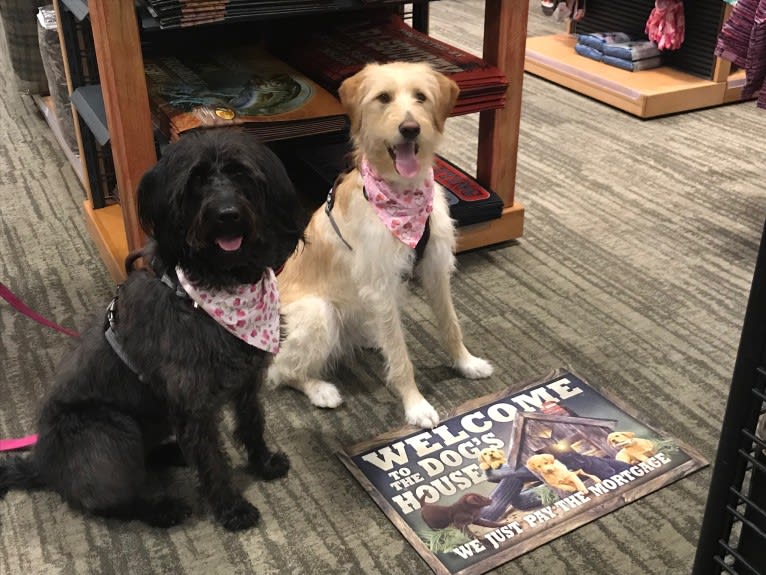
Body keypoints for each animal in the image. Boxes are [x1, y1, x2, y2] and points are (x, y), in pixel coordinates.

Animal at [0, 129, 306, 532]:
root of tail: (43, 465)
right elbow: (212, 461)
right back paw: (162, 508)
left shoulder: (246, 382)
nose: (227, 215)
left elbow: (252, 426)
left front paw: (263, 464)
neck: (214, 288)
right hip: (111, 433)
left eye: (241, 174)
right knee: (113, 499)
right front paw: (231, 508)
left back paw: (173, 453)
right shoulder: (193, 404)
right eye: (196, 180)